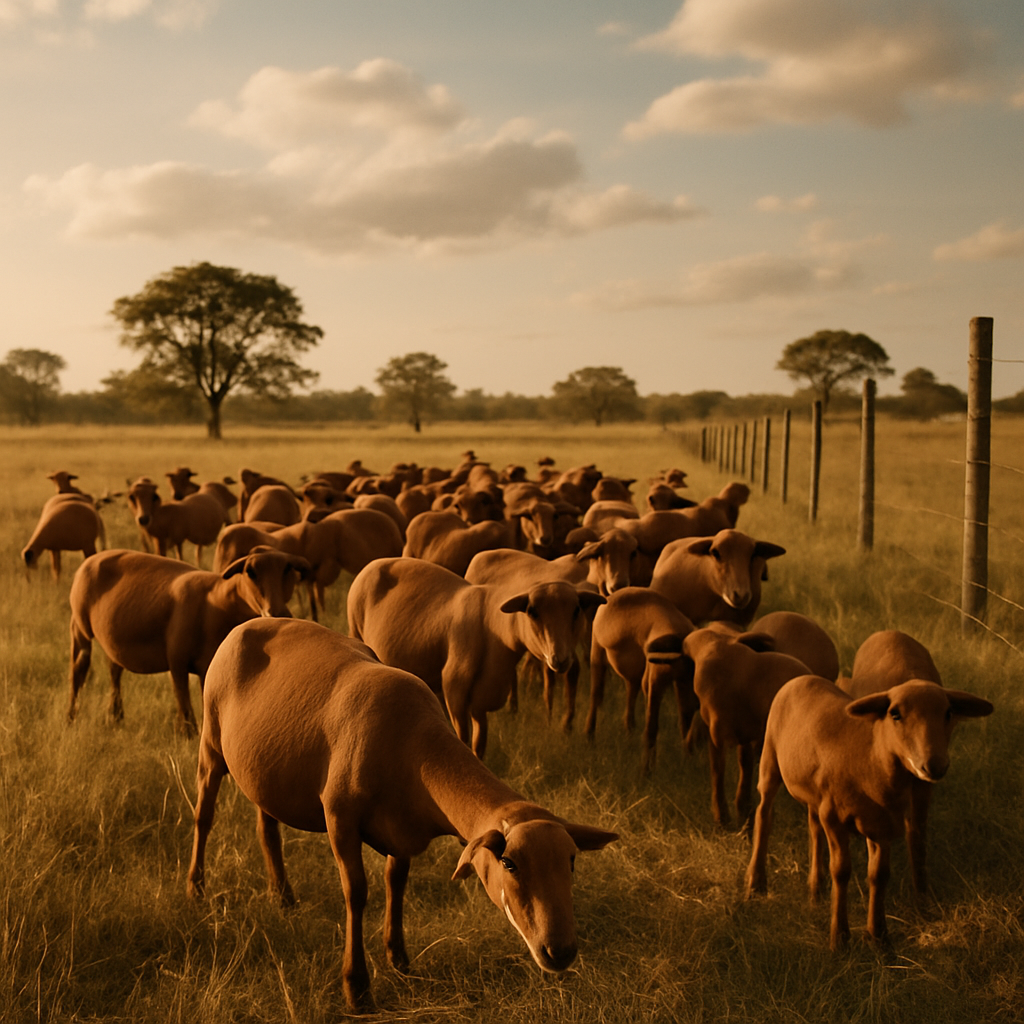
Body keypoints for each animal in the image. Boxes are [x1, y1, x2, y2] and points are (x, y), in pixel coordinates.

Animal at [68, 547, 310, 735]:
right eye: (250, 572)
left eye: (288, 570)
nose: (277, 613)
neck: (216, 603)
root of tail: (91, 559)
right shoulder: (177, 660)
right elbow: (183, 699)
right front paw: (187, 732)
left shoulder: (207, 667)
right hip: (80, 627)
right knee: (79, 669)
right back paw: (72, 716)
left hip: (113, 642)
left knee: (114, 669)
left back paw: (116, 715)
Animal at [187, 618, 617, 1011]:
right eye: (509, 863)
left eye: (572, 861)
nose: (561, 952)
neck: (416, 749)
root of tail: (249, 622)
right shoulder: (339, 818)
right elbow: (357, 892)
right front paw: (357, 988)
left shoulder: (403, 829)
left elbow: (396, 882)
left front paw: (399, 958)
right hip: (211, 742)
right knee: (203, 815)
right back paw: (196, 887)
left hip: (265, 771)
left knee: (267, 826)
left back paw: (283, 896)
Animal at [347, 557, 604, 758]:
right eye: (532, 612)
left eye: (577, 610)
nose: (559, 659)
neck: (494, 630)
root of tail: (375, 562)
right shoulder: (455, 693)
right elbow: (462, 739)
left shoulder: (481, 701)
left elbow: (479, 744)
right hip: (354, 628)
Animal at [585, 587, 698, 772]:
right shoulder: (656, 681)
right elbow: (652, 726)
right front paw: (647, 770)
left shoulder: (681, 682)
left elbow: (684, 721)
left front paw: (687, 760)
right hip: (598, 653)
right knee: (596, 695)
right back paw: (590, 736)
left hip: (636, 675)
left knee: (630, 699)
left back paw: (628, 735)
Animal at [744, 674, 993, 948]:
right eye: (895, 714)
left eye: (948, 712)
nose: (934, 765)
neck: (872, 759)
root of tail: (803, 678)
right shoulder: (834, 817)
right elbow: (841, 871)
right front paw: (840, 938)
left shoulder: (881, 825)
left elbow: (879, 875)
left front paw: (878, 936)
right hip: (770, 758)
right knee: (764, 816)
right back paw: (755, 883)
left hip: (814, 792)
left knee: (814, 828)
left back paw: (815, 891)